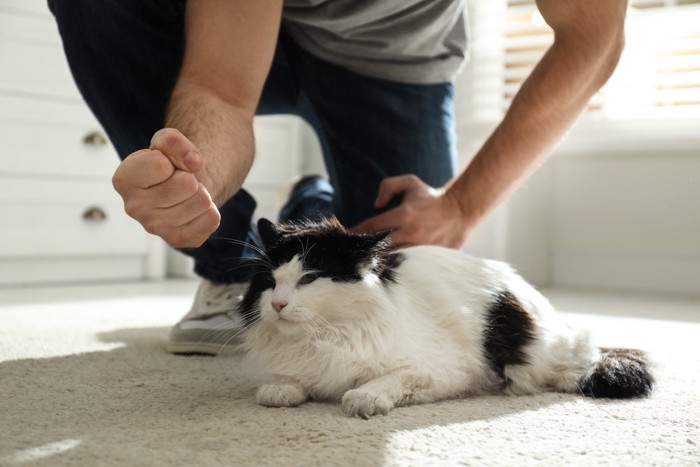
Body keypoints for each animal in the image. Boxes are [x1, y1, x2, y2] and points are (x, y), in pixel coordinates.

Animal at [238, 218, 652, 418]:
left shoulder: (444, 370)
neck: (323, 338)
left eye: (309, 278)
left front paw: (364, 398)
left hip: (547, 344)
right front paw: (281, 389)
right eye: (270, 281)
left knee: (586, 353)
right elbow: (289, 382)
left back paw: (568, 378)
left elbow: (386, 380)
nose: (277, 305)